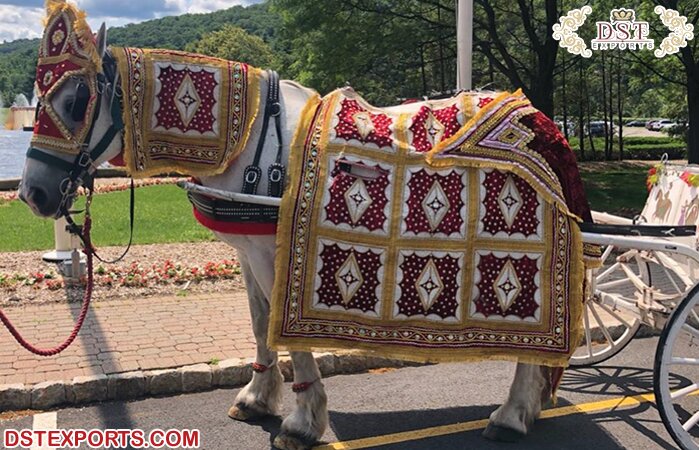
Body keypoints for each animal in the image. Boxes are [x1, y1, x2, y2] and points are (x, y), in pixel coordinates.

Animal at [21, 24, 556, 450]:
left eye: (75, 101)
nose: (31, 192)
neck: (247, 138)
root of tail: (539, 122)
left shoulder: (277, 256)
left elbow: (287, 334)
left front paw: (301, 422)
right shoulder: (248, 252)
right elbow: (261, 326)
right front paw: (257, 398)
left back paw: (511, 414)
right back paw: (528, 407)